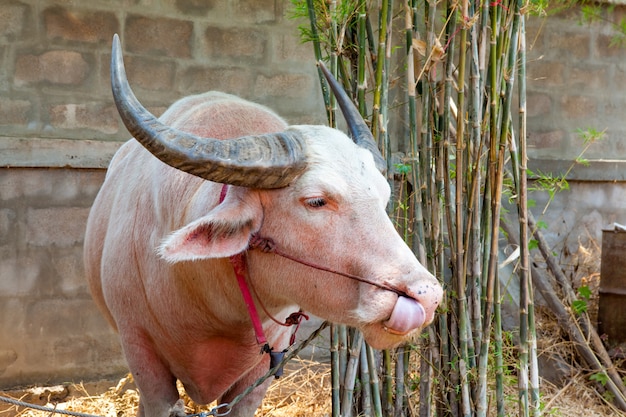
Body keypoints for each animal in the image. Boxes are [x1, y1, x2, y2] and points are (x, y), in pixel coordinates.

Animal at [83, 35, 442, 416]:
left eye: (385, 196)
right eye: (316, 201)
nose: (428, 297)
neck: (206, 298)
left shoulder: (263, 369)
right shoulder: (141, 354)